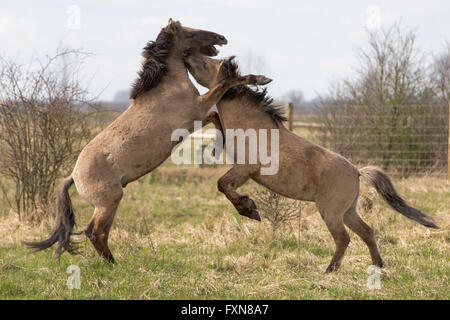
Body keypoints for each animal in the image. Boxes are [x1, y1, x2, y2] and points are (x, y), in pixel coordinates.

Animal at [25, 18, 270, 262]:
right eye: (190, 32)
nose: (221, 38)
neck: (167, 86)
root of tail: (73, 176)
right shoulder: (199, 107)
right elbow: (225, 85)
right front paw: (259, 78)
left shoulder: (197, 118)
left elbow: (217, 117)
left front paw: (218, 147)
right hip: (109, 201)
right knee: (93, 231)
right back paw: (112, 264)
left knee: (101, 233)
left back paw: (111, 262)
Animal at [182, 52, 436, 272]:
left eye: (205, 63)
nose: (185, 55)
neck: (253, 126)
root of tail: (356, 171)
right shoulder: (243, 170)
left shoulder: (245, 169)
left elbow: (223, 185)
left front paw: (249, 209)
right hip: (348, 212)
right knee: (367, 232)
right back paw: (377, 265)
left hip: (331, 213)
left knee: (344, 238)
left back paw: (330, 270)